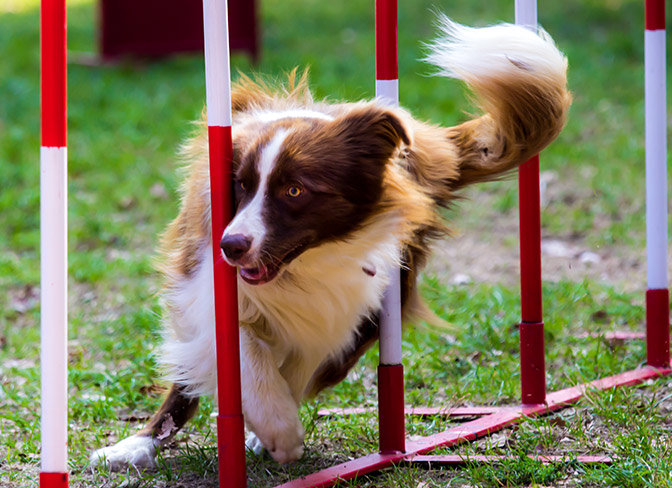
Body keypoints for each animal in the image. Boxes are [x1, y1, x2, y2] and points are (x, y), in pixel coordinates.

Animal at [90, 17, 572, 470]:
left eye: (295, 190)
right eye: (241, 185)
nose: (232, 245)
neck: (303, 266)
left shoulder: (345, 305)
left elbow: (298, 362)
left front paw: (273, 430)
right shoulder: (204, 281)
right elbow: (242, 348)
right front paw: (276, 426)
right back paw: (135, 446)